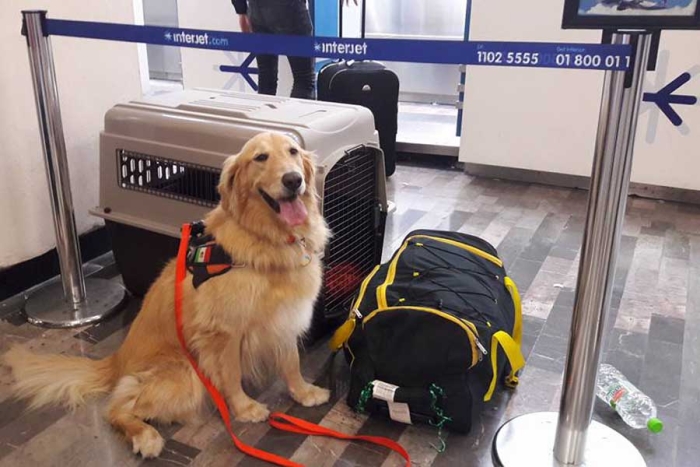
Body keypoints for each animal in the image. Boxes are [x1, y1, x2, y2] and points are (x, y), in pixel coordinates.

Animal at [2, 133, 330, 460]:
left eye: (293, 151)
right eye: (260, 157)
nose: (293, 180)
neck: (268, 239)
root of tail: (117, 359)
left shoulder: (286, 317)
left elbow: (291, 362)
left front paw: (304, 392)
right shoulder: (224, 333)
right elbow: (232, 374)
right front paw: (245, 408)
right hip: (186, 374)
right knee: (118, 407)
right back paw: (145, 437)